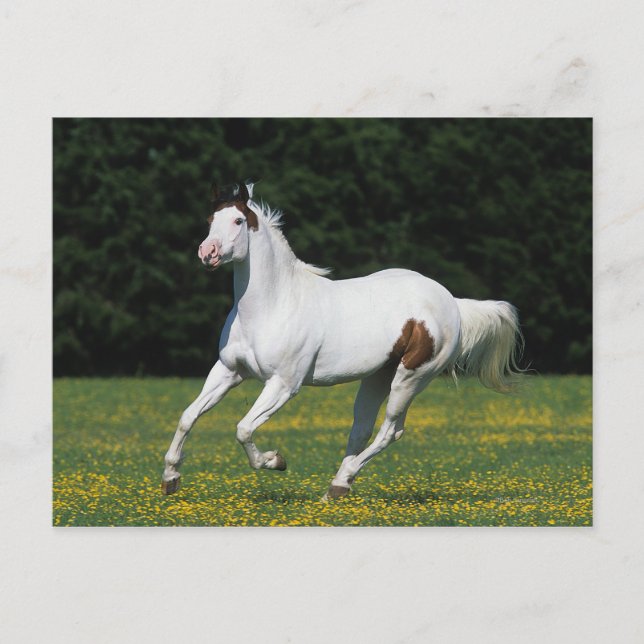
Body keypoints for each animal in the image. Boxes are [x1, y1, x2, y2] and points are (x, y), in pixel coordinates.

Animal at [161, 182, 523, 500]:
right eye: (210, 220)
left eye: (238, 220)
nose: (207, 253)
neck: (273, 305)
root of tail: (451, 302)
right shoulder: (228, 371)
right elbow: (188, 416)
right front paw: (170, 478)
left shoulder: (283, 384)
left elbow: (244, 428)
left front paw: (275, 461)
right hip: (378, 376)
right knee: (361, 429)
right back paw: (338, 486)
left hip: (411, 377)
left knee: (390, 430)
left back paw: (341, 481)